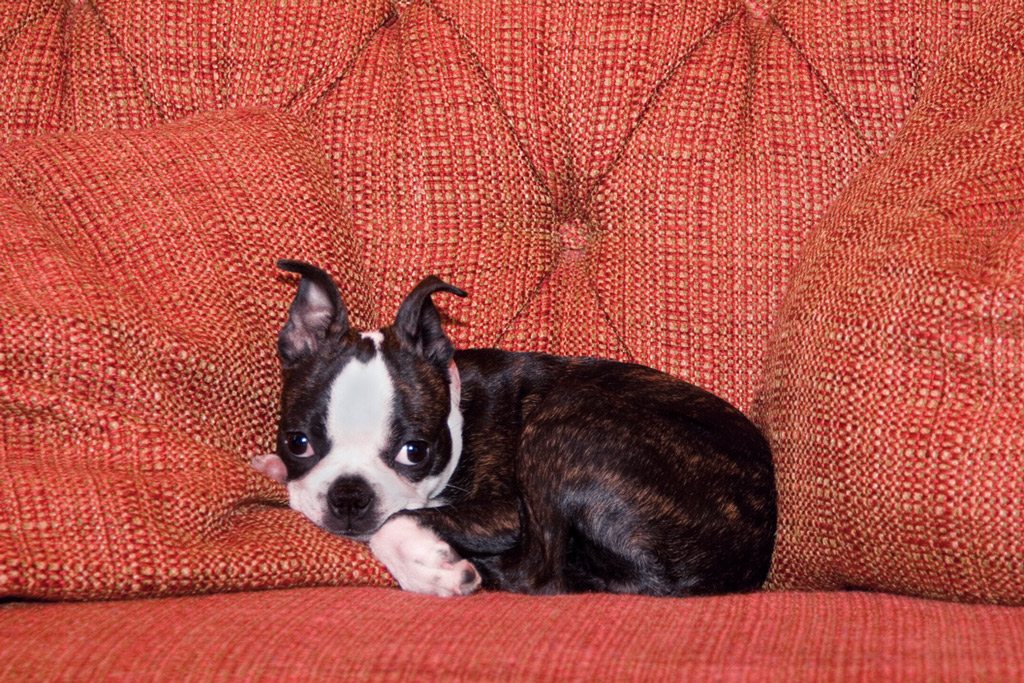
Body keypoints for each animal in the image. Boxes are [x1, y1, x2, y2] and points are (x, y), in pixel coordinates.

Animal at [253, 262, 774, 598]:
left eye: (414, 451)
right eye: (297, 442)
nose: (349, 496)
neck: (459, 414)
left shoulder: (505, 510)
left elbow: (396, 519)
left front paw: (431, 569)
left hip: (563, 424)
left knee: (539, 574)